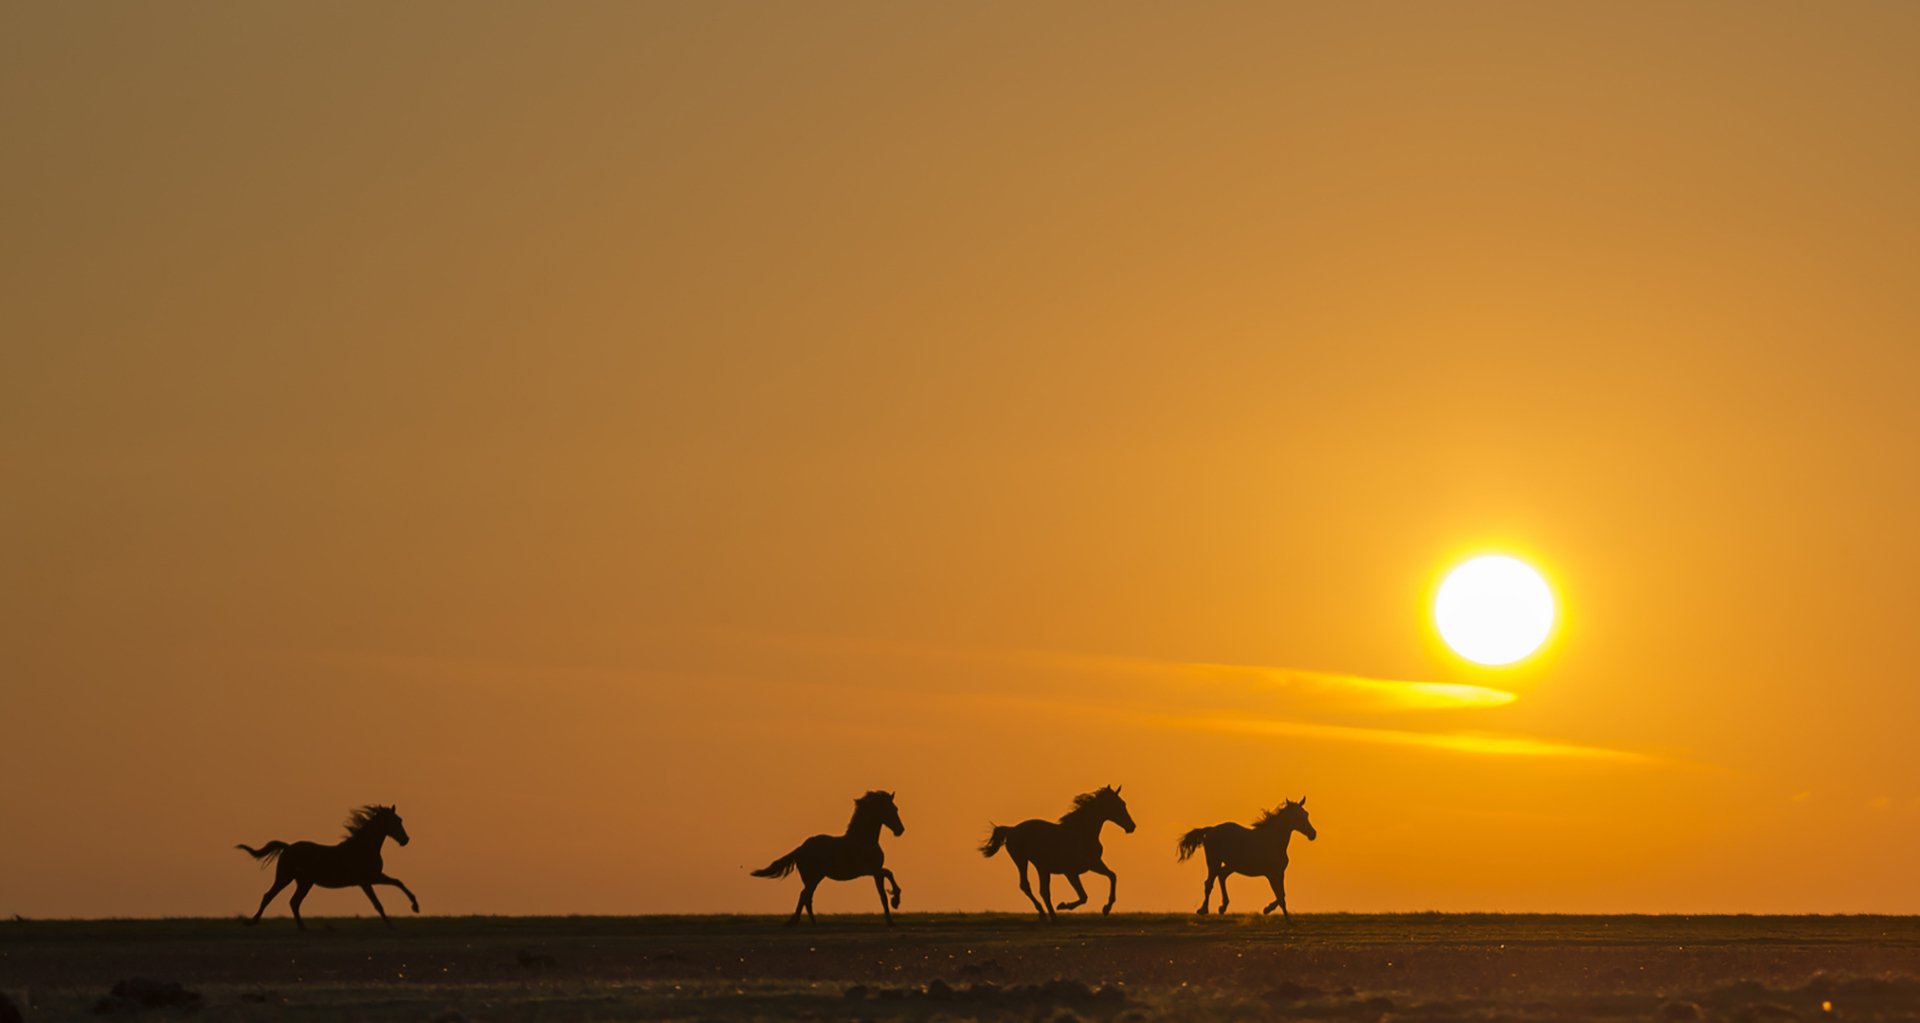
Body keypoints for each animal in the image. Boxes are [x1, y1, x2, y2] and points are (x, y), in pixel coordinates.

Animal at [237, 804, 418, 929]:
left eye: (400, 820)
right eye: (394, 821)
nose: (405, 840)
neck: (362, 847)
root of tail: (287, 847)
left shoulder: (374, 877)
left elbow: (398, 882)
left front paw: (415, 907)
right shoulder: (366, 880)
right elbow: (378, 904)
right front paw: (392, 926)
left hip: (304, 882)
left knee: (294, 902)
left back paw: (303, 929)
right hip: (285, 877)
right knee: (269, 896)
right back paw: (252, 922)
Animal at [752, 790, 904, 926]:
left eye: (895, 808)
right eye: (892, 809)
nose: (900, 830)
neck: (863, 840)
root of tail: (800, 848)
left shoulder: (874, 872)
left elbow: (884, 890)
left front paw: (892, 912)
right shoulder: (871, 870)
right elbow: (887, 877)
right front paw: (895, 902)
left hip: (815, 878)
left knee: (806, 896)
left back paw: (809, 922)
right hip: (812, 878)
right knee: (805, 896)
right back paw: (802, 922)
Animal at [980, 785, 1135, 919]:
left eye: (1123, 803)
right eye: (1117, 805)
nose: (1131, 826)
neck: (1082, 833)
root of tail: (1012, 829)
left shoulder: (1093, 864)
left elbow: (1112, 876)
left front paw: (1106, 908)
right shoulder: (1070, 872)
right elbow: (1083, 896)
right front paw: (1063, 905)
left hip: (1042, 868)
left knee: (1043, 891)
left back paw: (1051, 916)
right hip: (1022, 860)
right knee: (1027, 886)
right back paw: (1047, 915)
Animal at [1177, 797, 1316, 920]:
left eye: (1306, 814)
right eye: (1297, 816)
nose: (1313, 834)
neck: (1273, 840)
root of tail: (1210, 830)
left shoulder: (1279, 873)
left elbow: (1282, 895)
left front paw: (1271, 911)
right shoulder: (1271, 874)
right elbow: (1281, 896)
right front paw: (1282, 918)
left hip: (1231, 865)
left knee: (1221, 875)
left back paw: (1222, 907)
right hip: (1213, 862)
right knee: (1209, 883)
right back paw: (1203, 910)